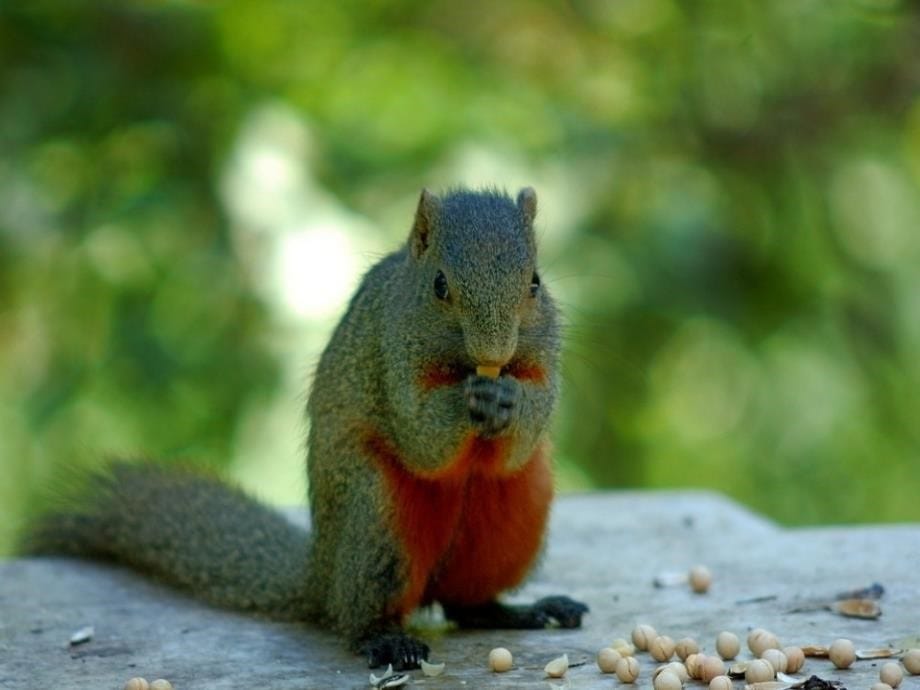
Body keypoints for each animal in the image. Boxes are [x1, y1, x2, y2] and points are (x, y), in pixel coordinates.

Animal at [28, 187, 592, 668]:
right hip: (375, 517)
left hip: (516, 512)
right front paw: (466, 403)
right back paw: (386, 640)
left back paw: (522, 610)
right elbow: (420, 437)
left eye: (535, 282)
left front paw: (510, 401)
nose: (494, 354)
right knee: (359, 613)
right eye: (440, 286)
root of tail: (320, 574)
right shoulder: (389, 357)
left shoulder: (543, 363)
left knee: (464, 603)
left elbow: (529, 426)